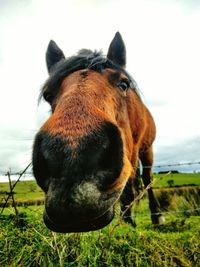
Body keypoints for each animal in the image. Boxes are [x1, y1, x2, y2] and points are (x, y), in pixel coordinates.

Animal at [32, 32, 164, 233]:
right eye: (48, 95)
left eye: (123, 84)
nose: (72, 160)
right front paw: (126, 220)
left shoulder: (134, 150)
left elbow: (131, 185)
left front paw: (128, 222)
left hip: (146, 149)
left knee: (147, 178)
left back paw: (157, 215)